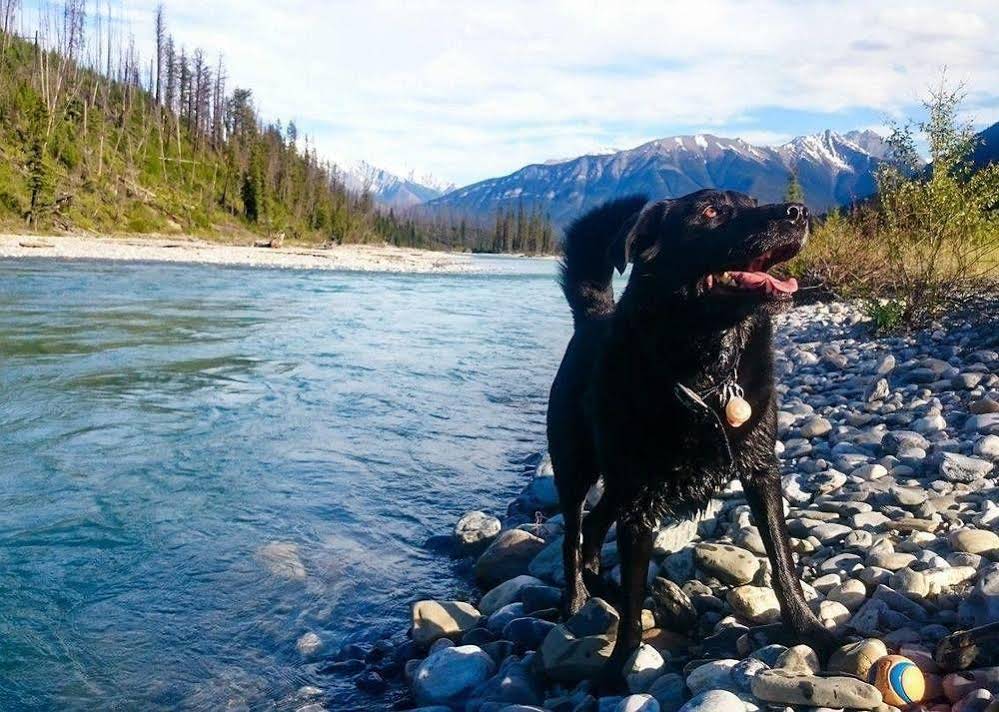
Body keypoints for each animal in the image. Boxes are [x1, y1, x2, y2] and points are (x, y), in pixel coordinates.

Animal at [548, 189, 836, 680]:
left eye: (754, 202)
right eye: (711, 211)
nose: (798, 212)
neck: (706, 370)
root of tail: (591, 319)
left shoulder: (762, 473)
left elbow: (782, 561)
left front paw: (808, 629)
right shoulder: (639, 503)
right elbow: (634, 601)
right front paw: (619, 667)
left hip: (618, 480)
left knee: (594, 522)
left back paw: (599, 583)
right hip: (576, 468)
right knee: (573, 531)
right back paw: (577, 598)